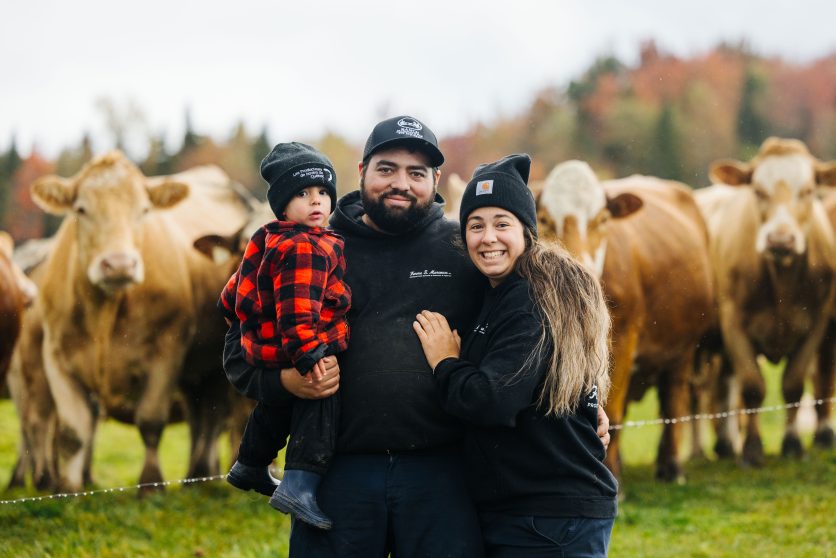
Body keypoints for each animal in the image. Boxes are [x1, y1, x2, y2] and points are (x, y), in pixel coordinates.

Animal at [29, 153, 250, 494]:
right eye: (81, 209)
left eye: (144, 211)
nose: (119, 264)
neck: (104, 314)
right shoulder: (55, 357)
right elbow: (72, 433)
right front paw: (68, 490)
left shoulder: (166, 354)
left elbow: (150, 422)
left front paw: (150, 486)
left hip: (214, 372)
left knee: (210, 420)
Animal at [536, 160, 712, 484]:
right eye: (544, 219)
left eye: (603, 219)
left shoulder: (624, 341)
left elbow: (613, 413)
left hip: (683, 350)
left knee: (673, 400)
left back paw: (671, 467)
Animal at [696, 138, 836, 466]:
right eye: (758, 190)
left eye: (808, 190)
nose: (780, 240)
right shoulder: (734, 325)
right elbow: (752, 387)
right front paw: (751, 449)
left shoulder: (815, 326)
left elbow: (793, 385)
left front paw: (792, 444)